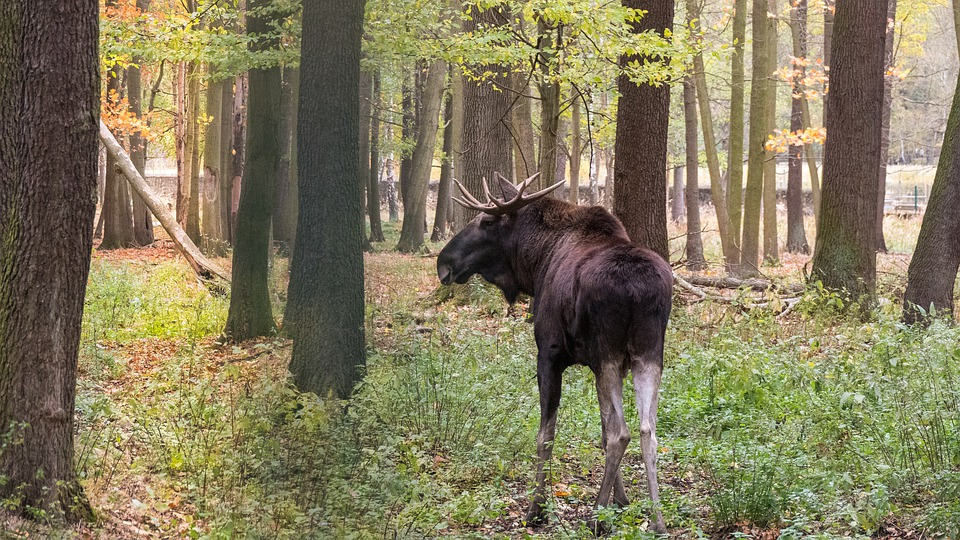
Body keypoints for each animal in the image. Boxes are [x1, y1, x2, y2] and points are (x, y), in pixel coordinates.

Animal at [438, 172, 672, 532]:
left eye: (487, 221)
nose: (444, 262)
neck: (535, 263)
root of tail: (639, 289)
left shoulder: (549, 354)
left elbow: (546, 435)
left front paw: (537, 510)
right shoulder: (604, 365)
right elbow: (602, 430)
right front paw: (620, 501)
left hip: (609, 353)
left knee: (622, 433)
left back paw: (595, 517)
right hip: (647, 355)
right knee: (648, 431)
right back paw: (658, 522)